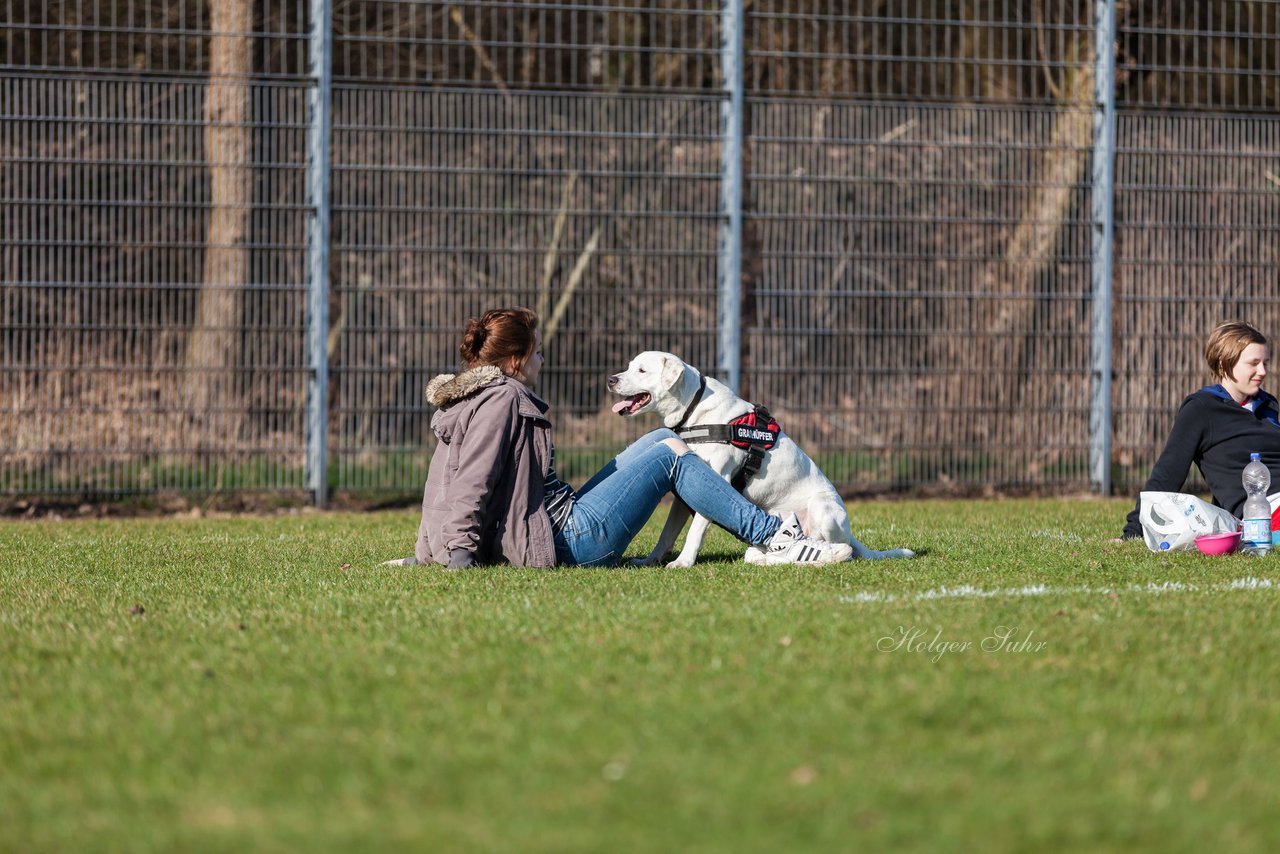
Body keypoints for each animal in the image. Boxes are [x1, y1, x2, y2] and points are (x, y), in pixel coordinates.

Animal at [606, 353, 916, 568]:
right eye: (630, 366)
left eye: (642, 370)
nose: (611, 379)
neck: (694, 408)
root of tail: (850, 535)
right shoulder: (684, 492)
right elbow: (667, 533)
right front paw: (651, 561)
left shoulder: (715, 480)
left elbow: (694, 531)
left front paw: (683, 562)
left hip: (823, 510)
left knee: (842, 551)